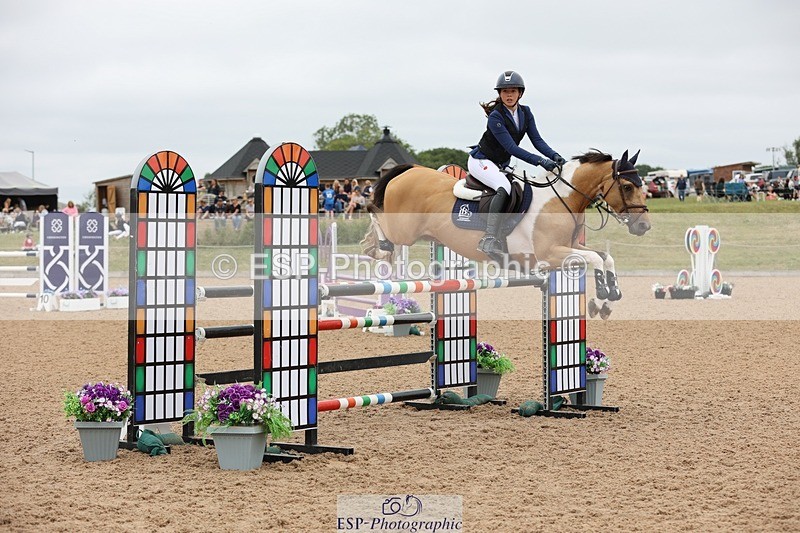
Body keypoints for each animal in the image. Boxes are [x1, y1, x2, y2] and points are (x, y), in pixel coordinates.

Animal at [362, 149, 652, 319]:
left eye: (642, 186)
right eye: (627, 187)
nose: (644, 227)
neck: (562, 199)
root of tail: (410, 170)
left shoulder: (569, 249)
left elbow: (605, 257)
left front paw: (607, 301)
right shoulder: (548, 256)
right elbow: (595, 259)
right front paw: (601, 296)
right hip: (404, 231)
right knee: (374, 211)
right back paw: (379, 248)